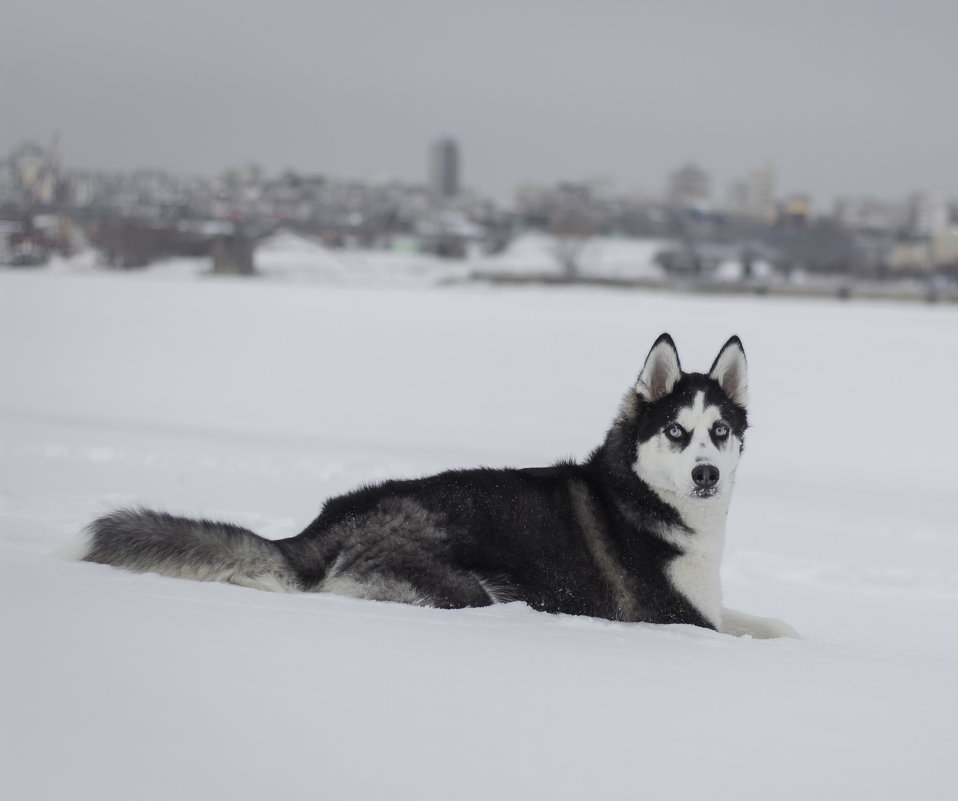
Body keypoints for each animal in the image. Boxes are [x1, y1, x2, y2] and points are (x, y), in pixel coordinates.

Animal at [75, 332, 796, 636]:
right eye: (675, 431)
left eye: (720, 431)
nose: (705, 473)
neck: (643, 499)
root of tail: (325, 524)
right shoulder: (675, 619)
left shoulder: (711, 610)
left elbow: (770, 625)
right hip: (466, 588)